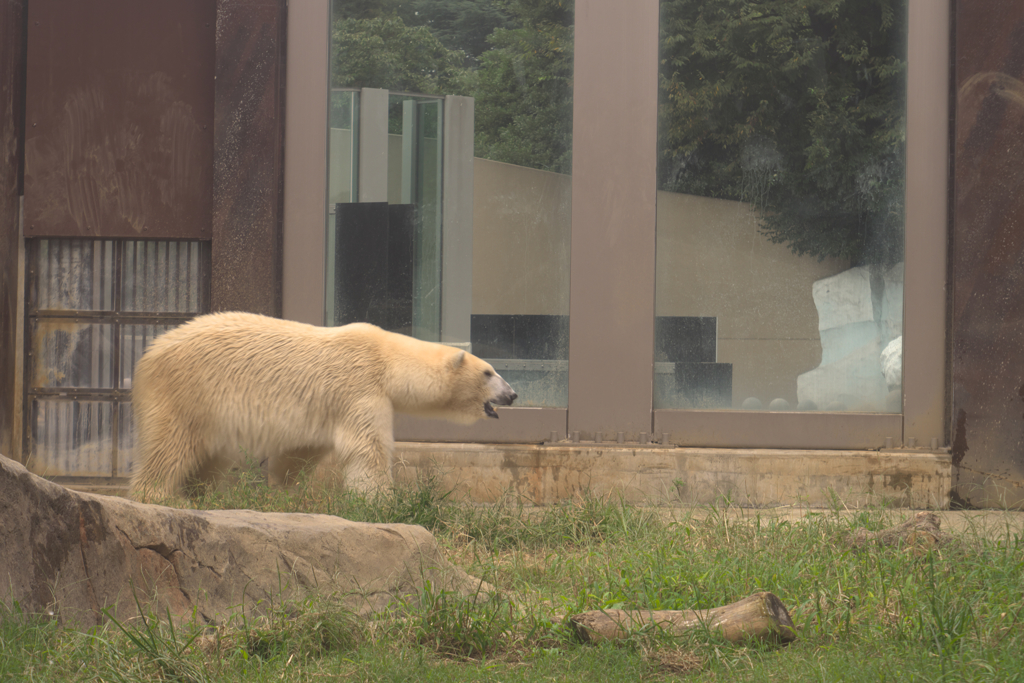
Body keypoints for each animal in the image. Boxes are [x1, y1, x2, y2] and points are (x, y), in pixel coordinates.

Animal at [128, 313, 516, 499]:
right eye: (488, 372)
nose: (512, 395)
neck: (387, 358)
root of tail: (148, 354)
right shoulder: (359, 387)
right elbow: (367, 448)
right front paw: (381, 500)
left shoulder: (325, 406)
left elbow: (302, 450)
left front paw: (282, 488)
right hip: (189, 391)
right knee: (170, 443)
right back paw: (159, 493)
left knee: (210, 454)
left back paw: (202, 492)